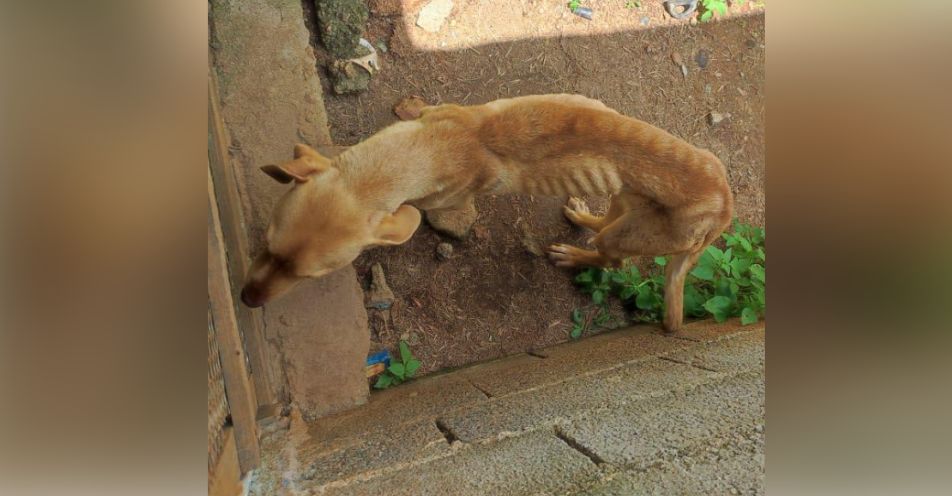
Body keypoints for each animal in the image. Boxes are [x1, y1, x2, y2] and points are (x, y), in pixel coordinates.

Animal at [242, 94, 732, 334]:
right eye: (266, 245)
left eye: (312, 277)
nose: (246, 300)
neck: (432, 148)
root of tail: (727, 205)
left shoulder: (438, 200)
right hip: (624, 200)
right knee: (604, 221)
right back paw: (580, 218)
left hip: (634, 236)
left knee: (610, 258)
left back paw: (575, 255)